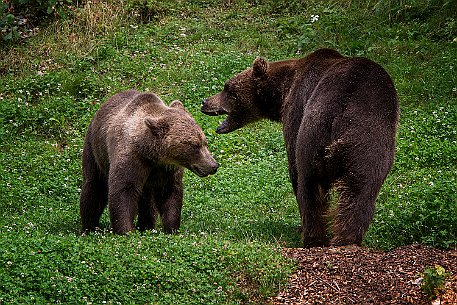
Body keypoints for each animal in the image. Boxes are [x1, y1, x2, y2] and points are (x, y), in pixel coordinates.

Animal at [80, 89, 219, 234]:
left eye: (204, 142)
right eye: (195, 145)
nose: (214, 165)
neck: (151, 154)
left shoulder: (167, 169)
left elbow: (170, 194)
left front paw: (172, 228)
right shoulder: (131, 158)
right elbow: (123, 190)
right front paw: (126, 230)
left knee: (147, 201)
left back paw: (146, 226)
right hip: (95, 150)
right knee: (94, 187)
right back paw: (89, 227)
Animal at [201, 48, 398, 247]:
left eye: (228, 89)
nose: (205, 101)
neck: (281, 92)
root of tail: (342, 114)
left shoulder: (295, 108)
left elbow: (294, 166)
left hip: (314, 133)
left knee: (309, 185)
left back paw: (312, 236)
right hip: (367, 144)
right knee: (360, 192)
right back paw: (346, 238)